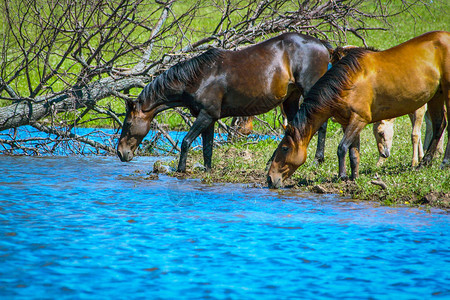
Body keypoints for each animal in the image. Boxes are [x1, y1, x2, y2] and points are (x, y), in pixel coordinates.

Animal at [118, 32, 332, 171]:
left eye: (127, 123)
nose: (121, 153)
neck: (198, 78)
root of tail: (322, 45)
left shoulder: (206, 115)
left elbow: (186, 142)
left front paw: (180, 170)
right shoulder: (209, 119)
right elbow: (207, 149)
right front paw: (207, 172)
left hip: (310, 91)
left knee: (320, 125)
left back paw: (317, 160)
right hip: (290, 99)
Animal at [268, 31, 450, 189]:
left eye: (284, 148)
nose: (270, 179)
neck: (348, 82)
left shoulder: (359, 119)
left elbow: (342, 148)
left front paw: (342, 176)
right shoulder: (348, 122)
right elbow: (353, 153)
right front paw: (353, 178)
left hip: (446, 93)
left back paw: (443, 162)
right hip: (436, 95)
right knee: (439, 125)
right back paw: (425, 163)